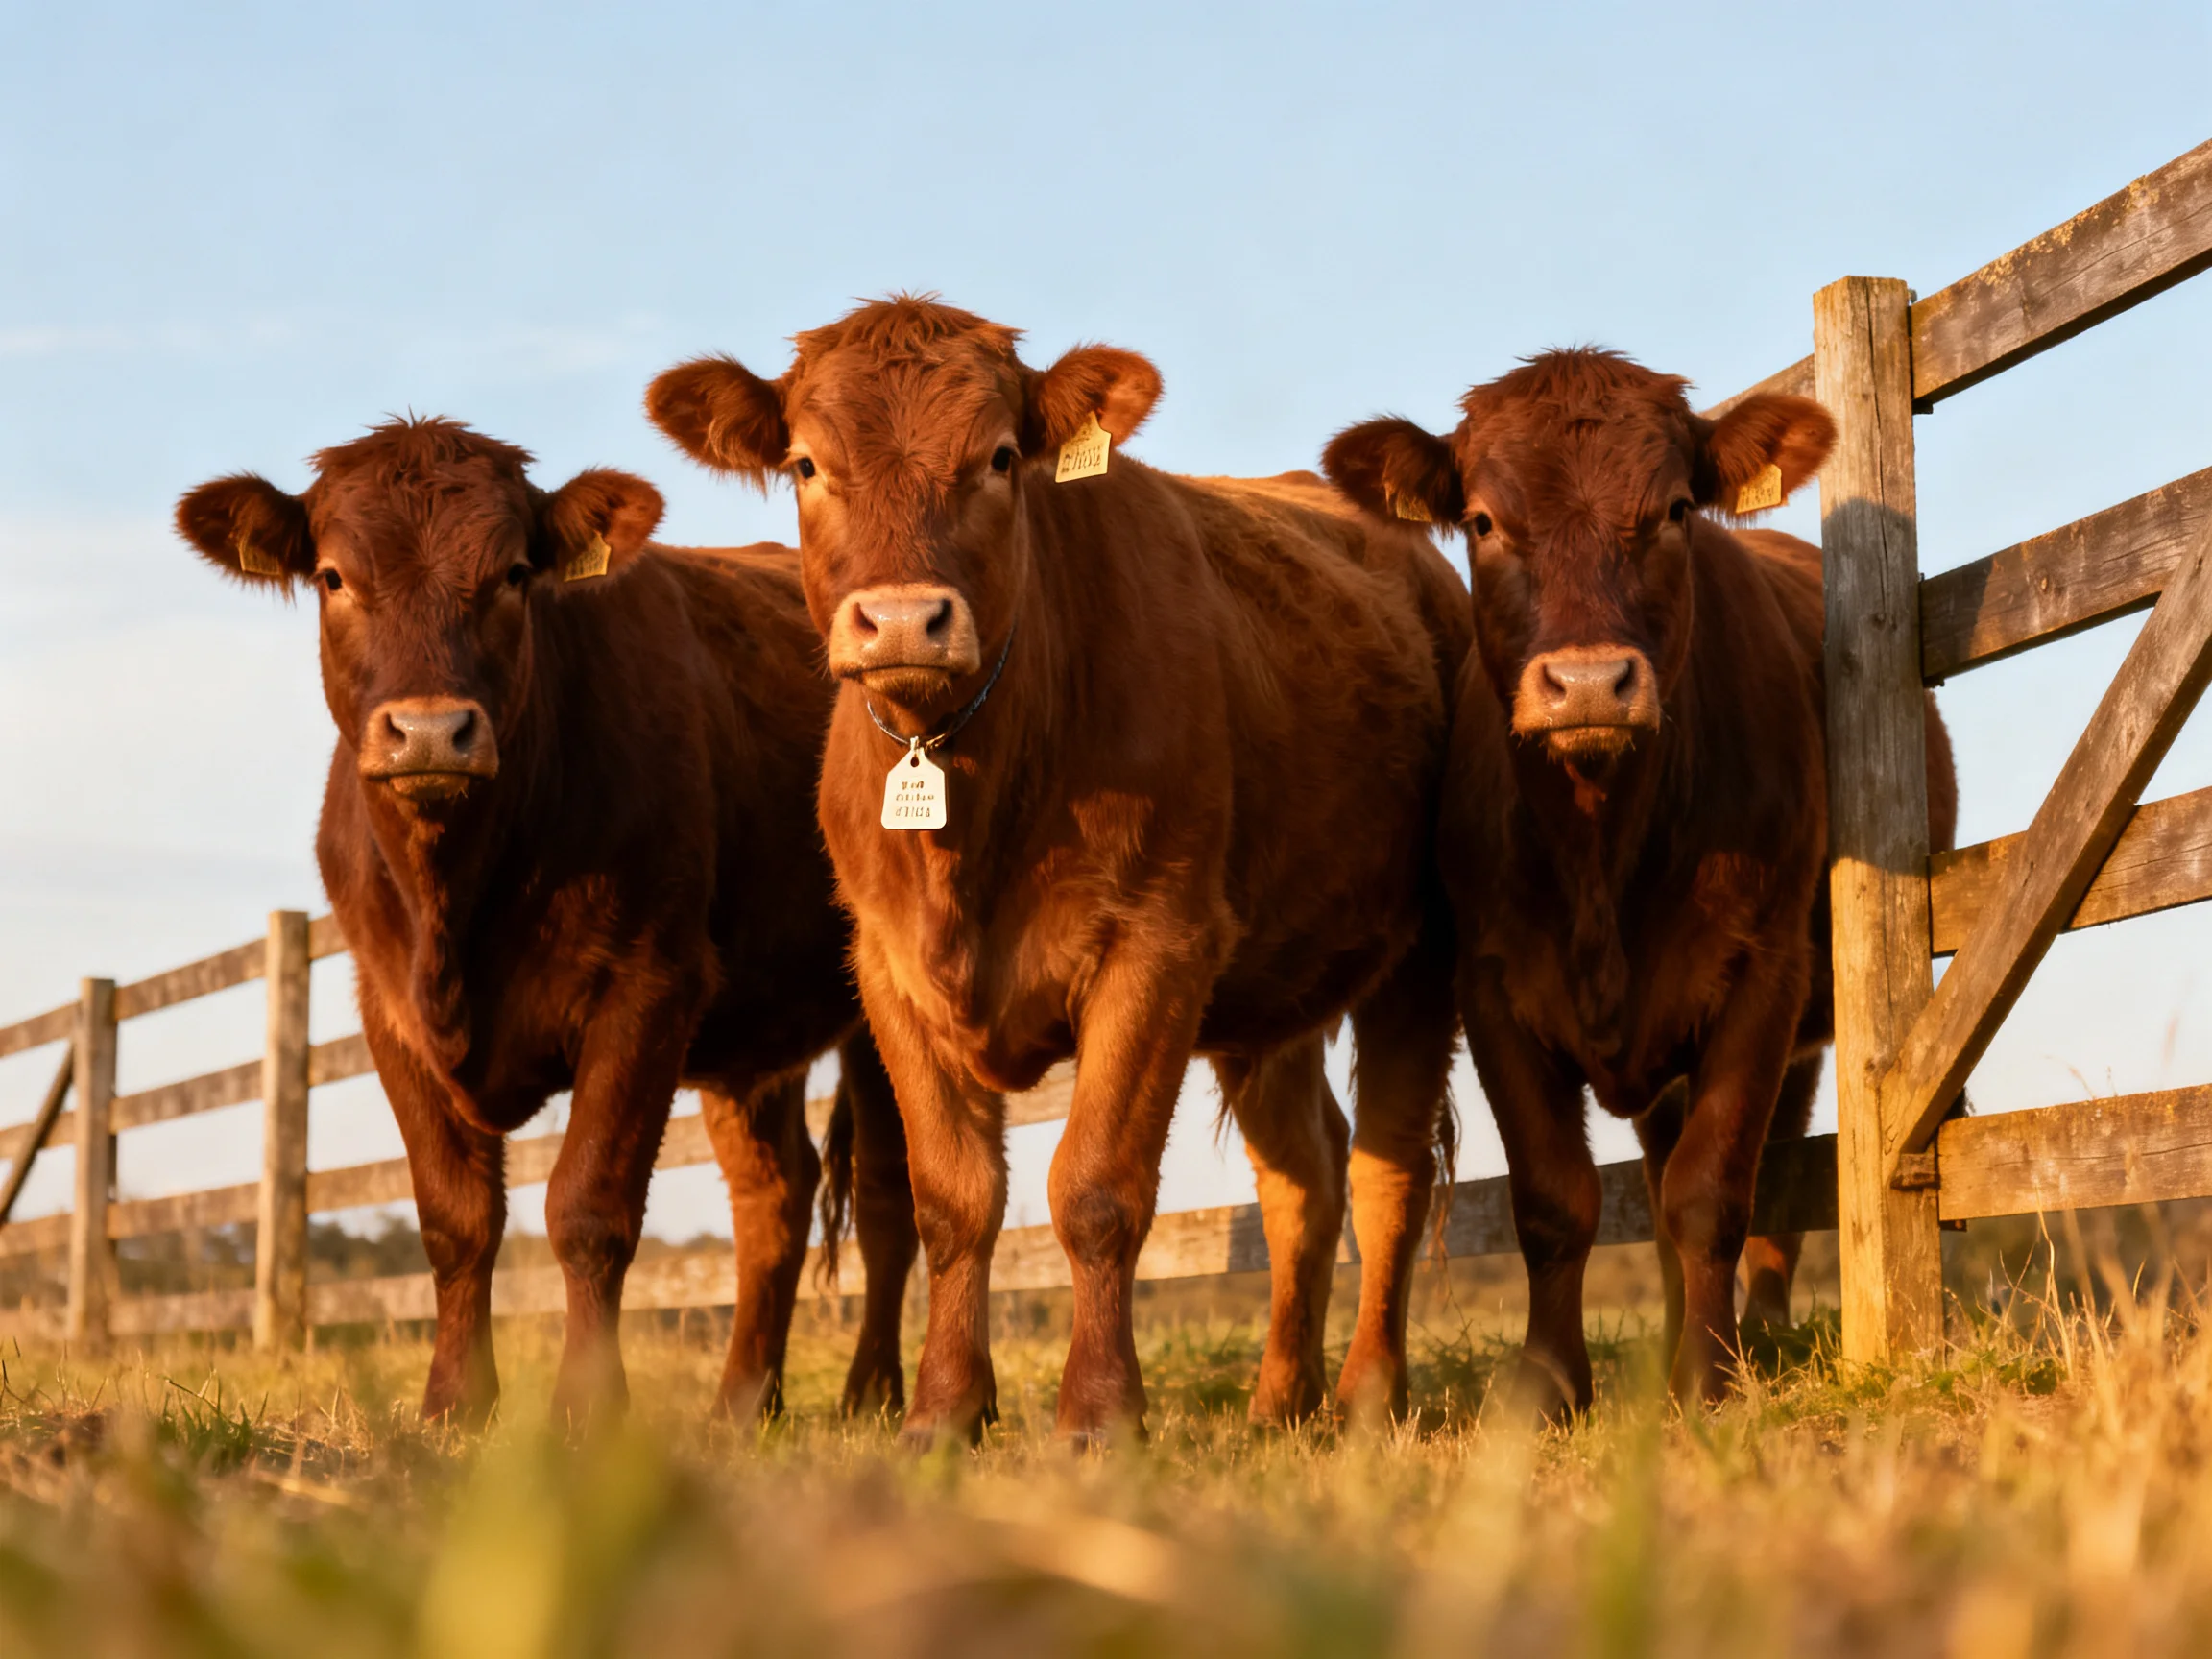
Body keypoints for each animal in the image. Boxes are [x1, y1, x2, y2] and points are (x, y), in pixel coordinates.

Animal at [174, 419, 918, 1425]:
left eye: (514, 573)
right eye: (333, 576)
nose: (430, 731)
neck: (457, 900)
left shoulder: (647, 987)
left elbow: (589, 1209)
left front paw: (588, 1410)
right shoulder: (390, 1013)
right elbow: (456, 1220)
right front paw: (453, 1403)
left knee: (885, 1197)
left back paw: (873, 1393)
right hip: (751, 1035)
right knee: (775, 1194)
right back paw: (741, 1403)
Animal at [644, 297, 1472, 1444]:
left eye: (999, 458)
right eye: (807, 463)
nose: (902, 619)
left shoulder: (1158, 943)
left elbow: (1097, 1187)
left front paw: (1097, 1413)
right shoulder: (891, 971)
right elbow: (953, 1201)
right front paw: (944, 1412)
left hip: (1423, 949)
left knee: (1390, 1164)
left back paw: (1364, 1398)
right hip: (1268, 988)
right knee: (1304, 1172)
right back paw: (1278, 1402)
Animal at [1324, 349, 1957, 1409]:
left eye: (1672, 510)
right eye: (1483, 521)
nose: (1587, 683)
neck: (1600, 845)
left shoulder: (1761, 969)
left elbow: (1711, 1190)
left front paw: (1709, 1378)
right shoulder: (1492, 987)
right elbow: (1554, 1197)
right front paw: (1548, 1384)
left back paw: (1752, 1332)